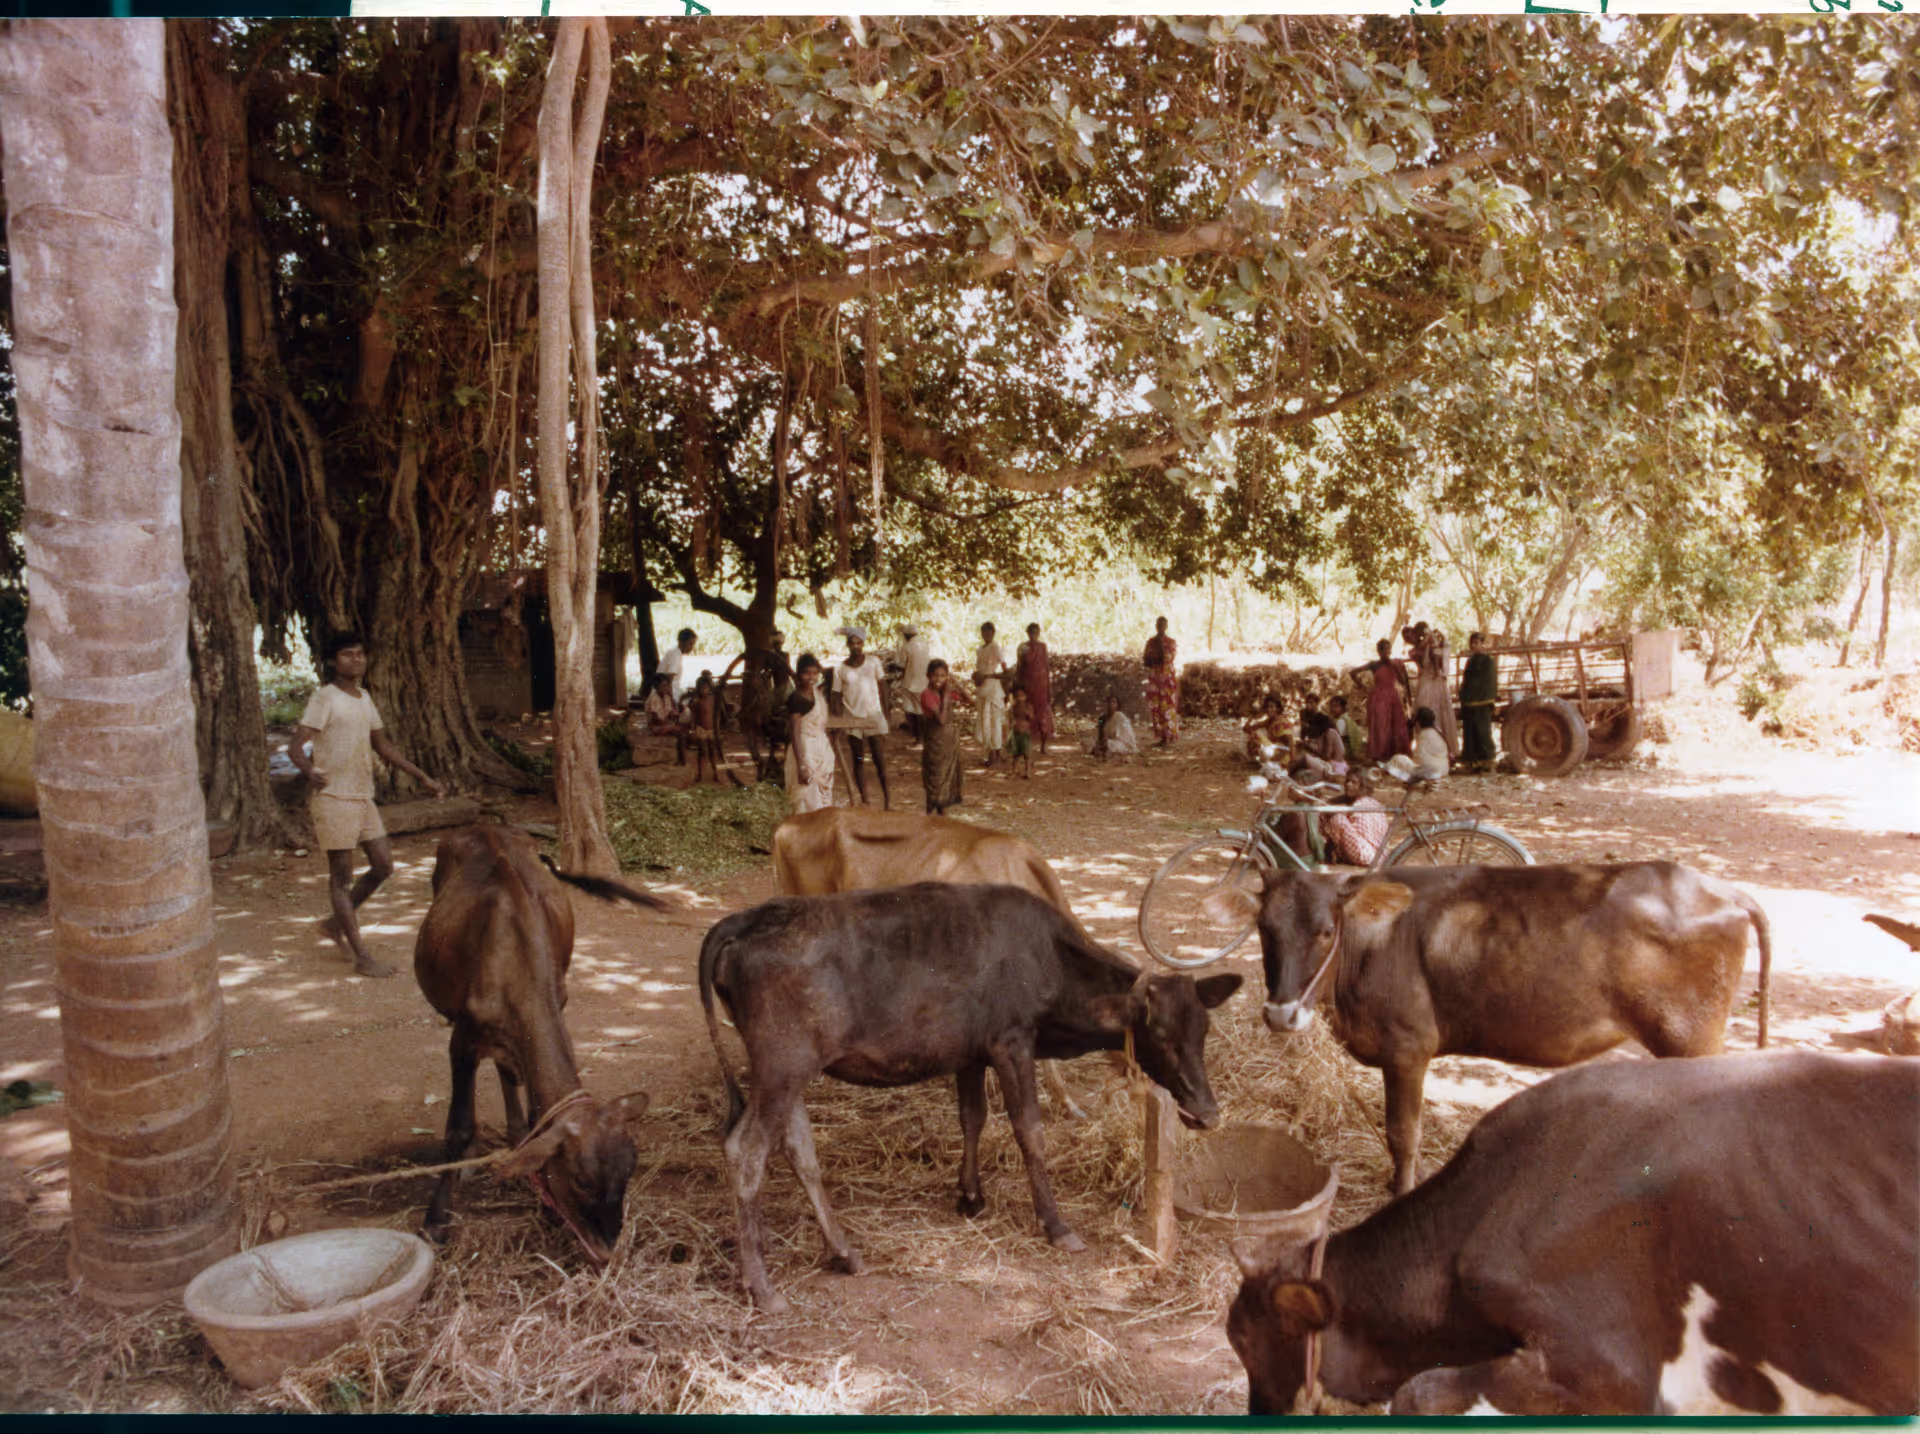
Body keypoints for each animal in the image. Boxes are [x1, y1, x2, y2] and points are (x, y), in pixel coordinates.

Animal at [414, 825, 662, 1266]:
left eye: (630, 1171)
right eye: (581, 1181)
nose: (607, 1248)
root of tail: (482, 826)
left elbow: (534, 1112)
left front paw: (545, 1207)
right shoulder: (462, 1040)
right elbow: (458, 1126)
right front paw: (436, 1221)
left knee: (508, 1071)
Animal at [698, 881, 1241, 1313]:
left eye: (1204, 1030)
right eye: (1161, 1033)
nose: (1207, 1113)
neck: (1050, 964)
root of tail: (744, 919)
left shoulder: (970, 1052)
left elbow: (972, 1117)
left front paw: (970, 1195)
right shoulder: (1011, 1041)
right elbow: (1029, 1130)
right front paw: (1055, 1225)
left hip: (789, 1068)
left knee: (798, 1149)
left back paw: (843, 1252)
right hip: (784, 1061)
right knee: (746, 1149)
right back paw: (762, 1285)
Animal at [1256, 862, 1771, 1195]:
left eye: (1325, 930)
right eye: (1264, 927)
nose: (1281, 1014)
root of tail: (1722, 889)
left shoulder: (1407, 1047)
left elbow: (1403, 1132)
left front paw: (1400, 1190)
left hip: (1691, 1036)